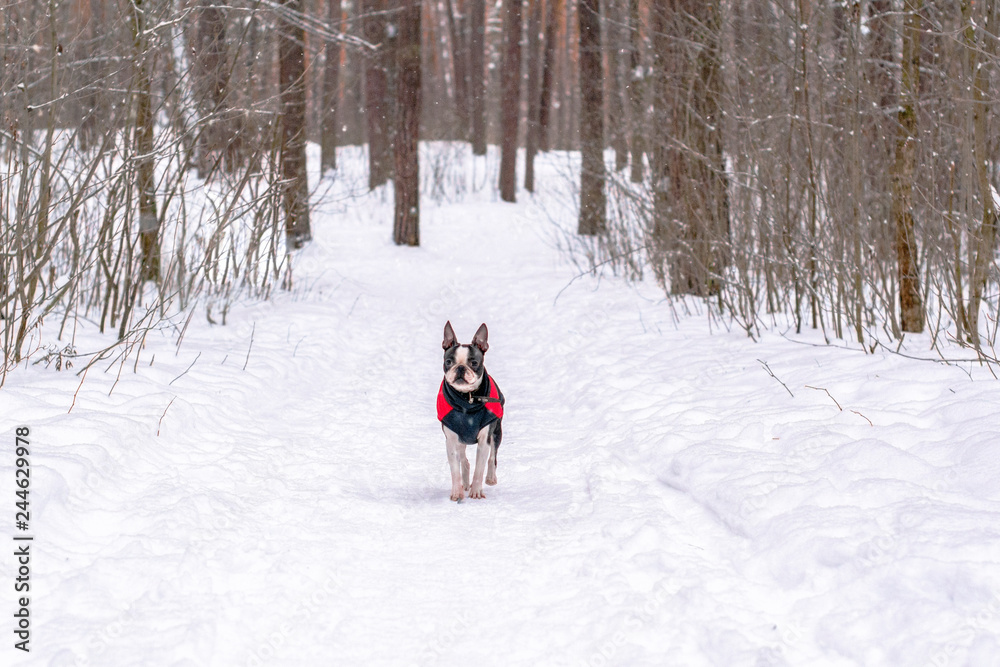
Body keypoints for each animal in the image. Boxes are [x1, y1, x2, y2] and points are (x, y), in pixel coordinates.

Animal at [436, 322, 504, 500]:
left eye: (473, 363)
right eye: (448, 361)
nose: (460, 368)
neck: (466, 399)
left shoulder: (484, 439)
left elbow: (480, 468)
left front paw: (477, 491)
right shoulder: (451, 440)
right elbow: (455, 469)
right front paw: (457, 492)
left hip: (496, 432)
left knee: (492, 457)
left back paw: (490, 478)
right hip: (461, 441)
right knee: (464, 461)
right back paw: (465, 485)